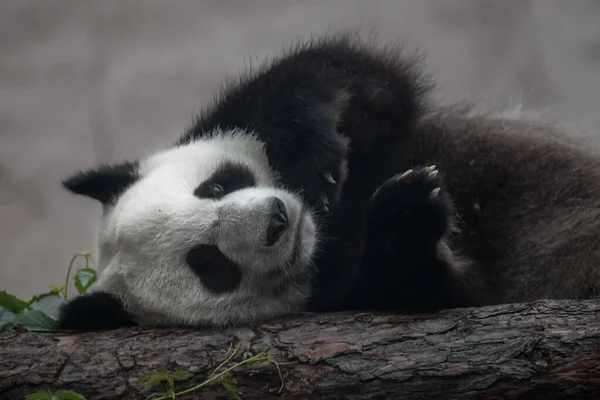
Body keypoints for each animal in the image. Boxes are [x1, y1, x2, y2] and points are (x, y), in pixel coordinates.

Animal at [55, 32, 600, 330]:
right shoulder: (337, 300)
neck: (328, 231)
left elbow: (354, 78)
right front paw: (406, 215)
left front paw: (315, 157)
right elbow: (429, 290)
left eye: (215, 187)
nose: (276, 221)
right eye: (209, 263)